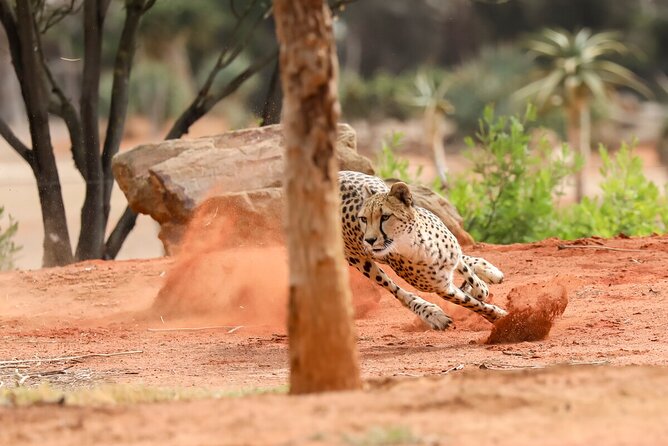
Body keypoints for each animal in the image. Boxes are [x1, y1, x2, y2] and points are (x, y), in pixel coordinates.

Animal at [340, 171, 506, 332]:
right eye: (363, 219)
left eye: (385, 217)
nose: (369, 240)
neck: (419, 245)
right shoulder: (444, 289)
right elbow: (472, 303)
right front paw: (498, 316)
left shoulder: (452, 254)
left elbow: (470, 275)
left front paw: (480, 287)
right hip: (359, 260)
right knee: (395, 289)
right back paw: (430, 312)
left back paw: (488, 270)